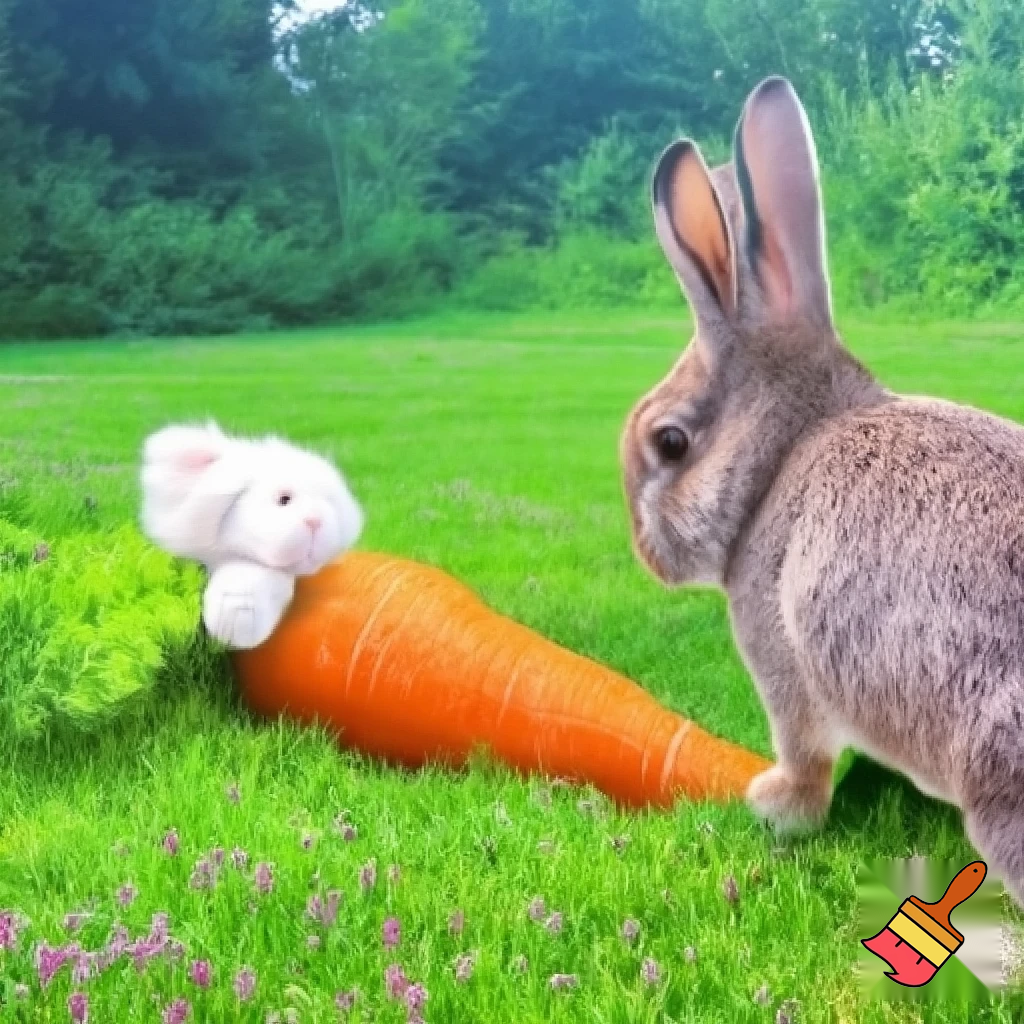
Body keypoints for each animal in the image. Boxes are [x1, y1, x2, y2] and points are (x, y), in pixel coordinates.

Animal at [621, 76, 1024, 905]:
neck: (782, 454)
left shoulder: (782, 656)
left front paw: (776, 806)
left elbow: (803, 751)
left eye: (670, 443)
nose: (649, 555)